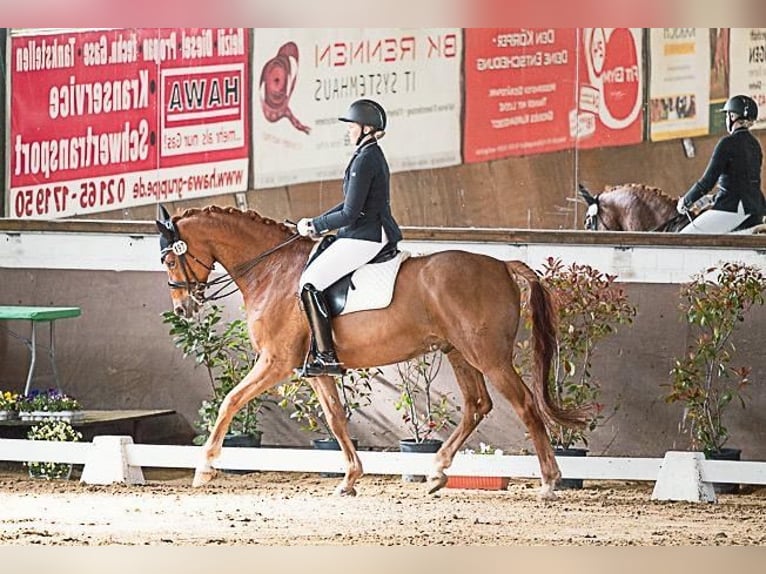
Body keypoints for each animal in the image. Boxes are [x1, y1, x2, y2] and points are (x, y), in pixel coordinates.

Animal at [156, 206, 588, 500]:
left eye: (169, 258)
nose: (183, 309)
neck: (271, 269)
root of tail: (501, 264)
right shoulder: (316, 369)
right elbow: (335, 419)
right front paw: (349, 478)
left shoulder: (275, 362)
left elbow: (229, 401)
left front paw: (205, 467)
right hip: (459, 352)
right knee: (476, 405)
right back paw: (436, 472)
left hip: (489, 356)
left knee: (526, 405)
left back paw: (549, 482)